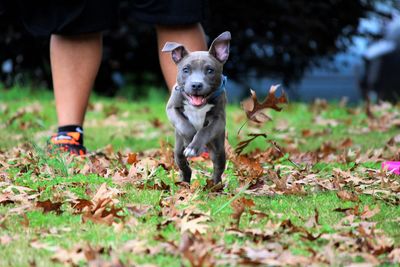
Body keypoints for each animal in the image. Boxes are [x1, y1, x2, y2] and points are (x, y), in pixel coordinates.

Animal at [162, 31, 231, 185]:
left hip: (218, 149)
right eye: (186, 70)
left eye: (210, 70)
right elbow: (184, 125)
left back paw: (216, 185)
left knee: (218, 167)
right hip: (178, 149)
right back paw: (185, 180)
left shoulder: (219, 120)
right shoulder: (171, 109)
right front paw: (190, 140)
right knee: (183, 163)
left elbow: (205, 130)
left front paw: (194, 145)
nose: (196, 85)